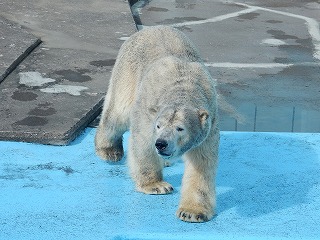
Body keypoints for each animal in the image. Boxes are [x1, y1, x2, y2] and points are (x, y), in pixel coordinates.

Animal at [95, 25, 219, 222]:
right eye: (159, 126)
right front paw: (156, 185)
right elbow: (143, 143)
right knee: (118, 112)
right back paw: (109, 150)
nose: (161, 144)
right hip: (128, 70)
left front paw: (192, 212)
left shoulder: (209, 126)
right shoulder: (148, 111)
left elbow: (201, 164)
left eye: (180, 128)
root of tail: (148, 28)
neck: (185, 87)